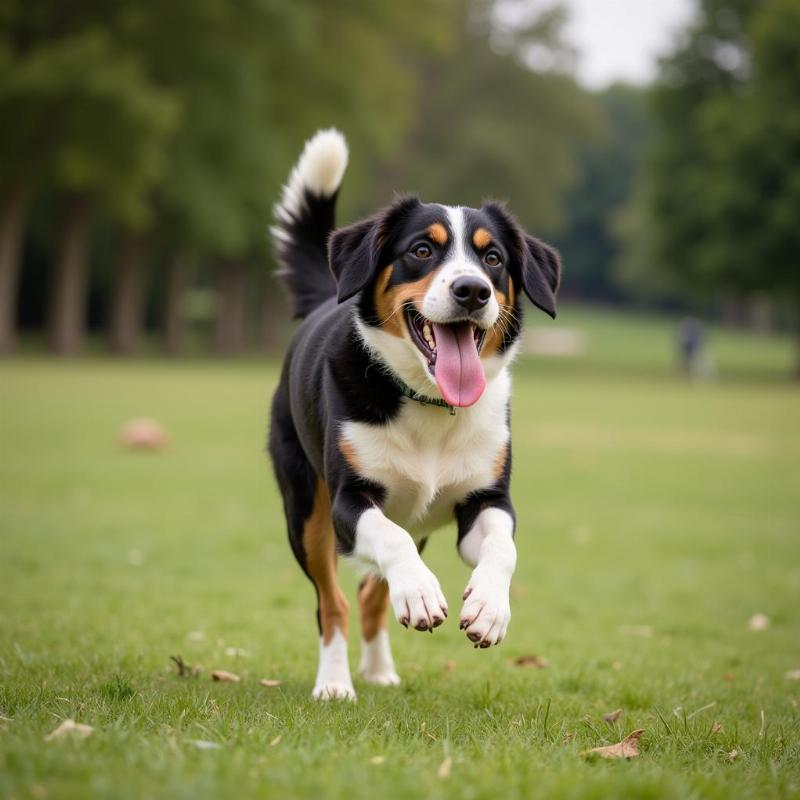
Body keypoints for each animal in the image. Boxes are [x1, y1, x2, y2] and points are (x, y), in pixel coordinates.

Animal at [266, 128, 560, 696]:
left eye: (493, 259)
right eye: (422, 250)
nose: (472, 290)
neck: (431, 407)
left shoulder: (486, 499)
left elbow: (502, 548)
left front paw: (489, 608)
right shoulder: (349, 501)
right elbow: (388, 540)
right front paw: (421, 595)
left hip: (416, 517)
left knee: (371, 595)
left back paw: (379, 670)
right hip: (306, 513)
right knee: (333, 603)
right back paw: (335, 684)